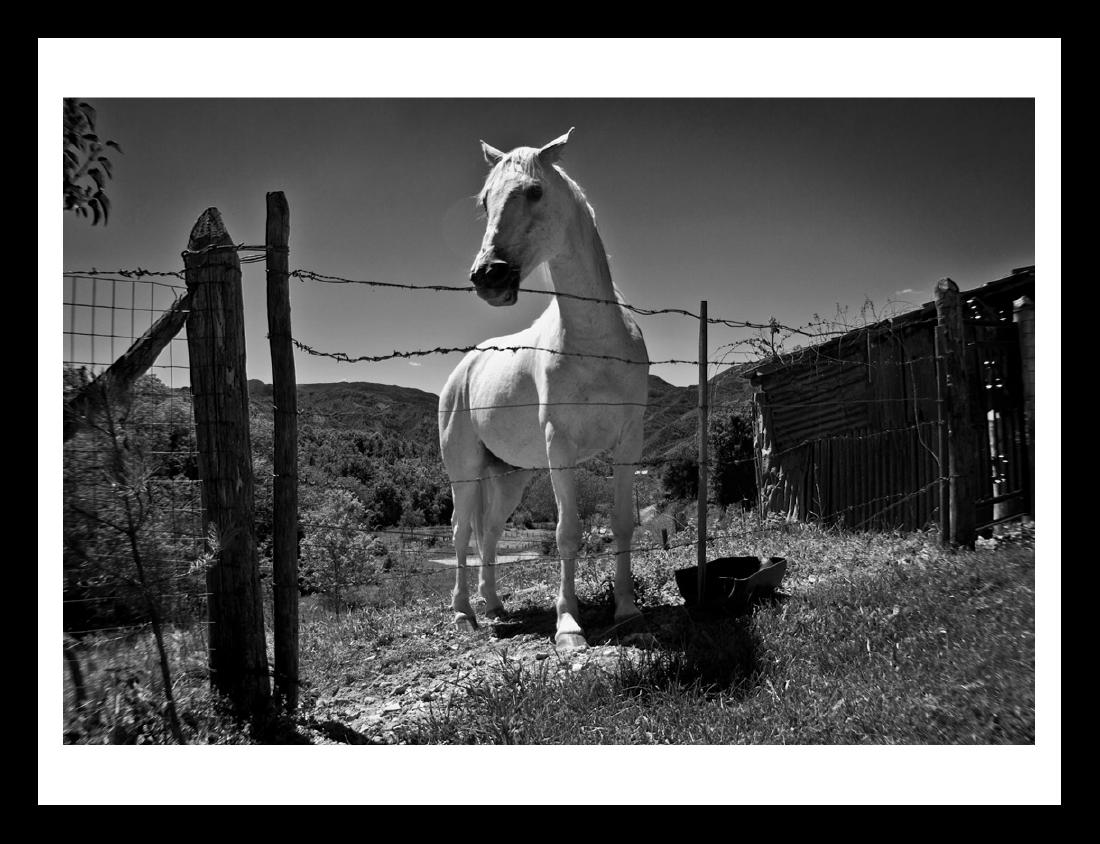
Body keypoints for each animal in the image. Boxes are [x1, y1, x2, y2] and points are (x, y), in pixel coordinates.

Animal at [438, 128, 649, 649]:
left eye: (534, 191)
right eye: (485, 200)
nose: (488, 276)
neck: (596, 345)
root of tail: (463, 369)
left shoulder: (628, 442)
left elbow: (621, 525)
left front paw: (627, 609)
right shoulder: (561, 447)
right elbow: (567, 532)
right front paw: (569, 624)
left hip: (510, 476)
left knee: (490, 532)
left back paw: (494, 605)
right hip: (464, 472)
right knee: (460, 533)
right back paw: (463, 613)